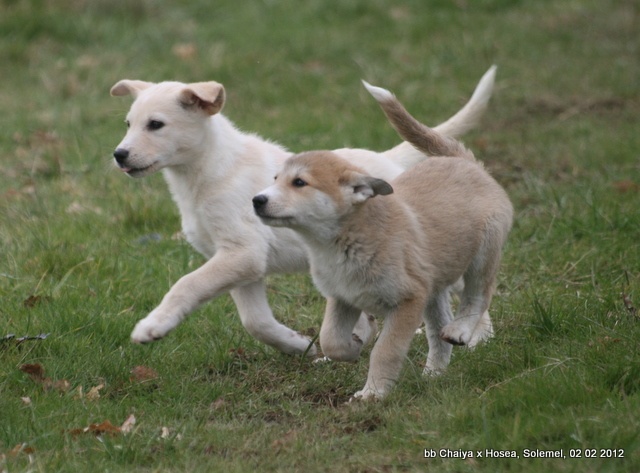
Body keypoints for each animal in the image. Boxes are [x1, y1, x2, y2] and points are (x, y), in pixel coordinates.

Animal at [110, 65, 498, 354]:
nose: (119, 155)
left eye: (155, 125)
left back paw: (472, 334)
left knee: (472, 288)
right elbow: (257, 323)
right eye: (128, 124)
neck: (210, 169)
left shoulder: (242, 253)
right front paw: (301, 346)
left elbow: (187, 284)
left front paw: (153, 325)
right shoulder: (245, 267)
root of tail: (387, 161)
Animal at [252, 81, 512, 398]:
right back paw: (433, 375)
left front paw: (373, 394)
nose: (257, 200)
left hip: (483, 253)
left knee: (478, 296)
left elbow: (385, 350)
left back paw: (460, 331)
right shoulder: (343, 297)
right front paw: (352, 348)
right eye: (276, 179)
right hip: (434, 288)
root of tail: (466, 163)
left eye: (299, 183)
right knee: (437, 334)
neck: (343, 241)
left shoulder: (408, 300)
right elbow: (330, 339)